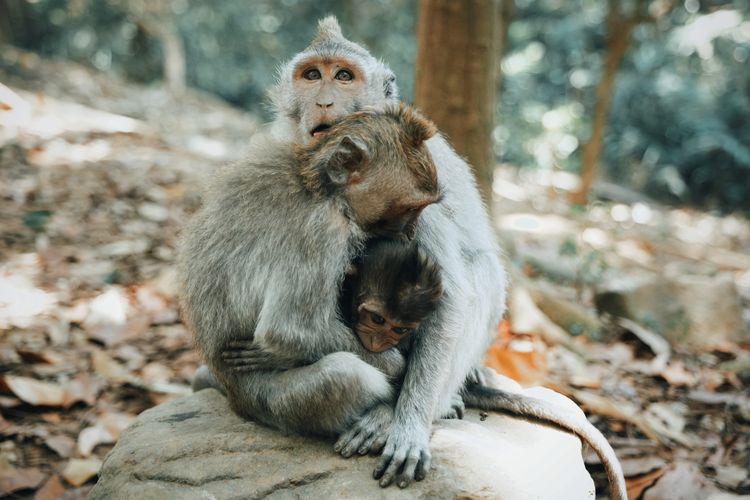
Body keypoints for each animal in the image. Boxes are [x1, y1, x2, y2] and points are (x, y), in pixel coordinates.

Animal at [191, 17, 626, 499]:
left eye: (344, 76)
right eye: (312, 75)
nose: (323, 99)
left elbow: (450, 299)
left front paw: (408, 422)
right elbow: (291, 328)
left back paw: (407, 409)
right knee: (345, 372)